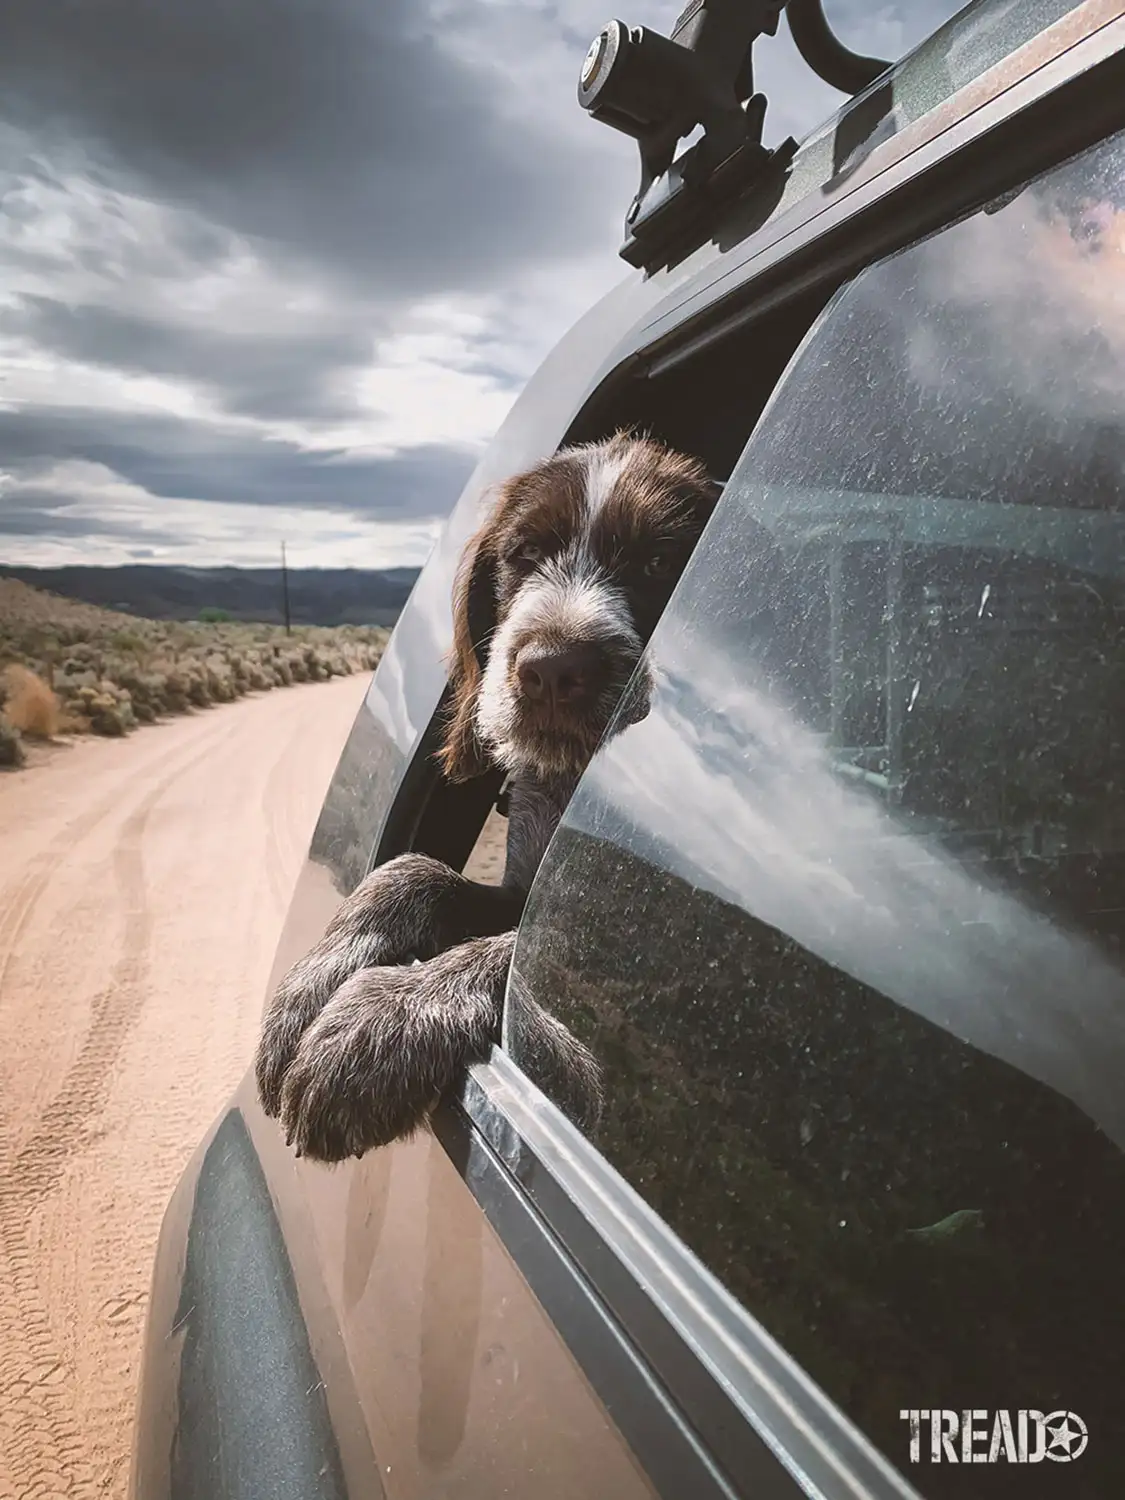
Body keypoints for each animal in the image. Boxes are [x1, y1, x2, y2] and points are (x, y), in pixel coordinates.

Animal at [252, 432, 717, 1158]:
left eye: (660, 562)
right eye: (521, 555)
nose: (553, 670)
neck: (566, 779)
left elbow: (515, 955)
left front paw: (380, 1019)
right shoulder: (515, 883)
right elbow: (418, 871)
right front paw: (314, 982)